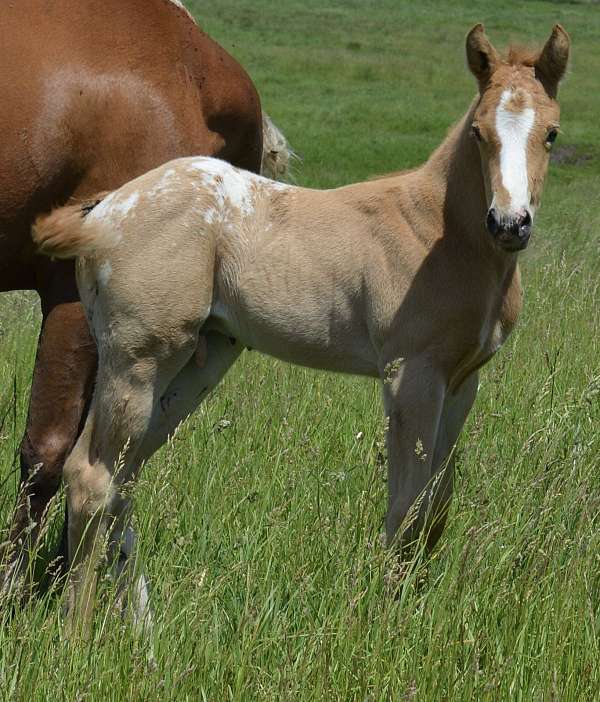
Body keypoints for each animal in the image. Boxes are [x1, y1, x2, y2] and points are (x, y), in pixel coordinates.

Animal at [31, 24, 568, 636]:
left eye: (551, 134)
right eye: (478, 132)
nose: (509, 224)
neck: (439, 233)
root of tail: (104, 210)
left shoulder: (462, 382)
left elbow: (436, 508)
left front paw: (417, 613)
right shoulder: (411, 375)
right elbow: (405, 507)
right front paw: (386, 625)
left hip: (199, 361)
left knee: (126, 477)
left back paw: (144, 630)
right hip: (137, 359)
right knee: (91, 475)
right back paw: (78, 632)